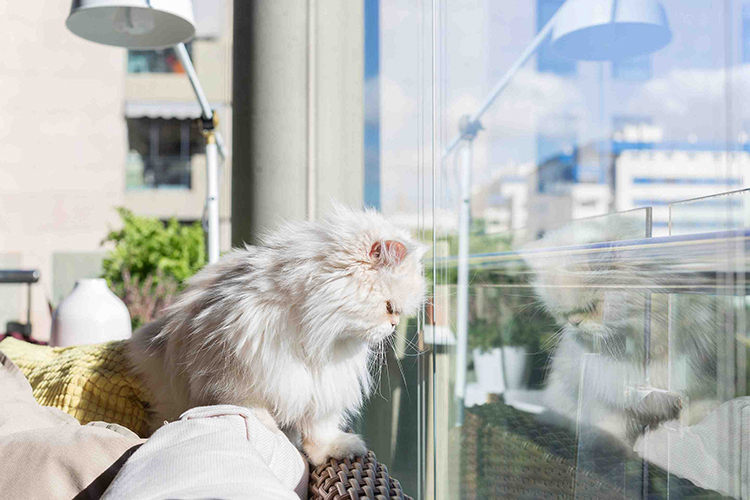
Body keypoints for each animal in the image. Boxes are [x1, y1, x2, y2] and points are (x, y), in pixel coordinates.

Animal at [126, 205, 426, 462]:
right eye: (389, 307)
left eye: (397, 313)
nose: (394, 325)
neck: (315, 334)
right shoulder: (236, 377)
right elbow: (254, 411)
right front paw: (272, 433)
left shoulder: (324, 386)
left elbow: (320, 431)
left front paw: (334, 450)